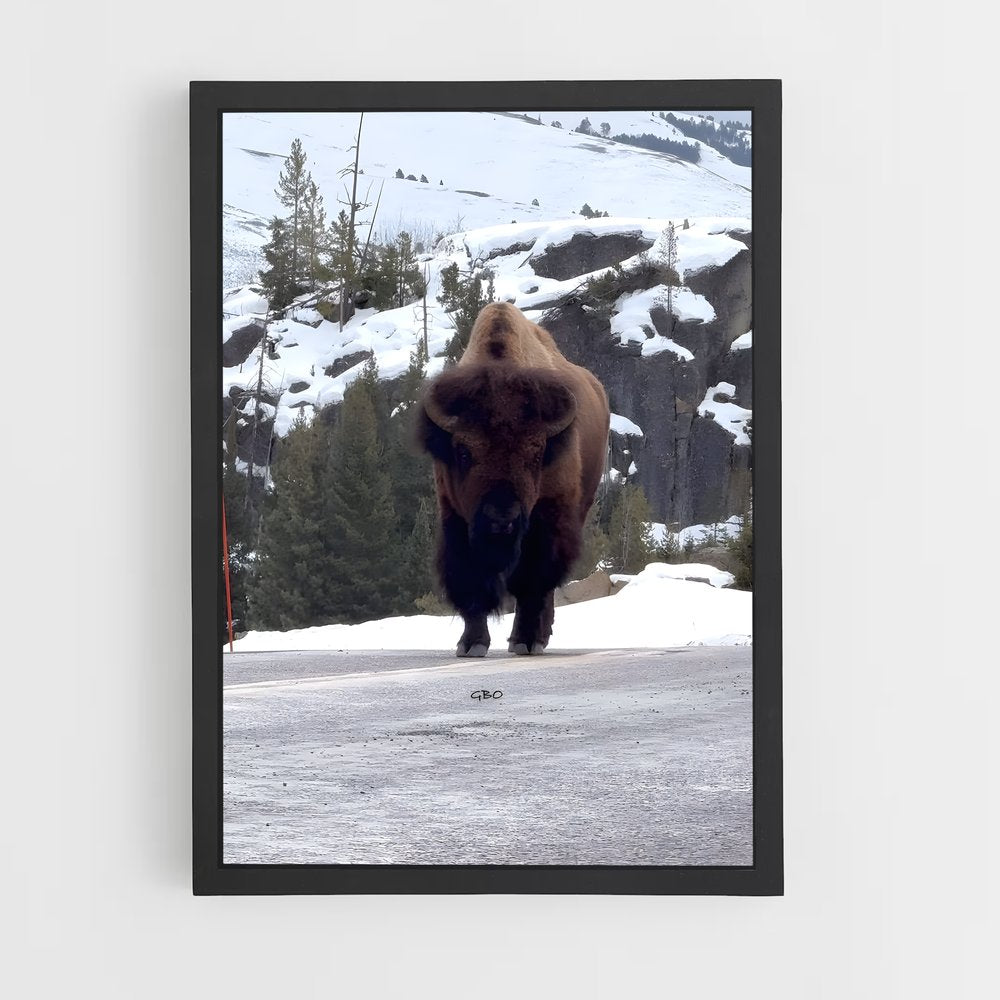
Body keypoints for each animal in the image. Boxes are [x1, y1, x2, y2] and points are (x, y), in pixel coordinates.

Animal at [417, 302, 610, 656]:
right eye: (463, 452)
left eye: (536, 452)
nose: (500, 518)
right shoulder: (455, 514)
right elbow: (470, 579)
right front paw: (471, 644)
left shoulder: (546, 519)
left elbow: (533, 582)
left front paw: (525, 639)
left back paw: (538, 637)